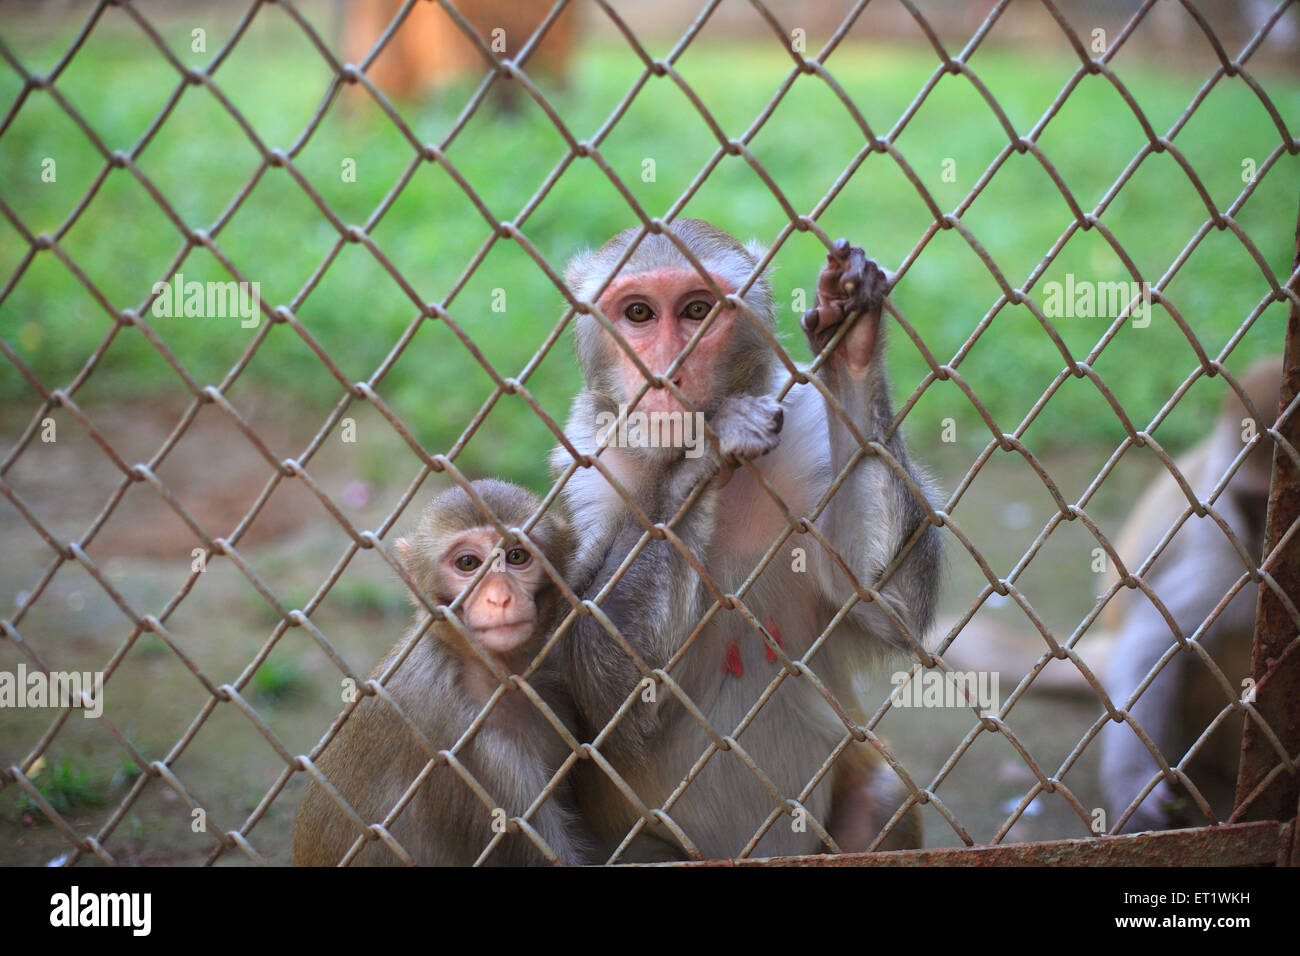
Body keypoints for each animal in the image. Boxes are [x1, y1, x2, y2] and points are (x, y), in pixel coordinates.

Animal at [553, 222, 941, 858]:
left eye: (697, 310)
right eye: (638, 313)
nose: (667, 374)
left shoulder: (802, 436)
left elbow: (882, 602)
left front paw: (851, 336)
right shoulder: (586, 472)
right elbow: (608, 686)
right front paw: (706, 448)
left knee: (883, 795)